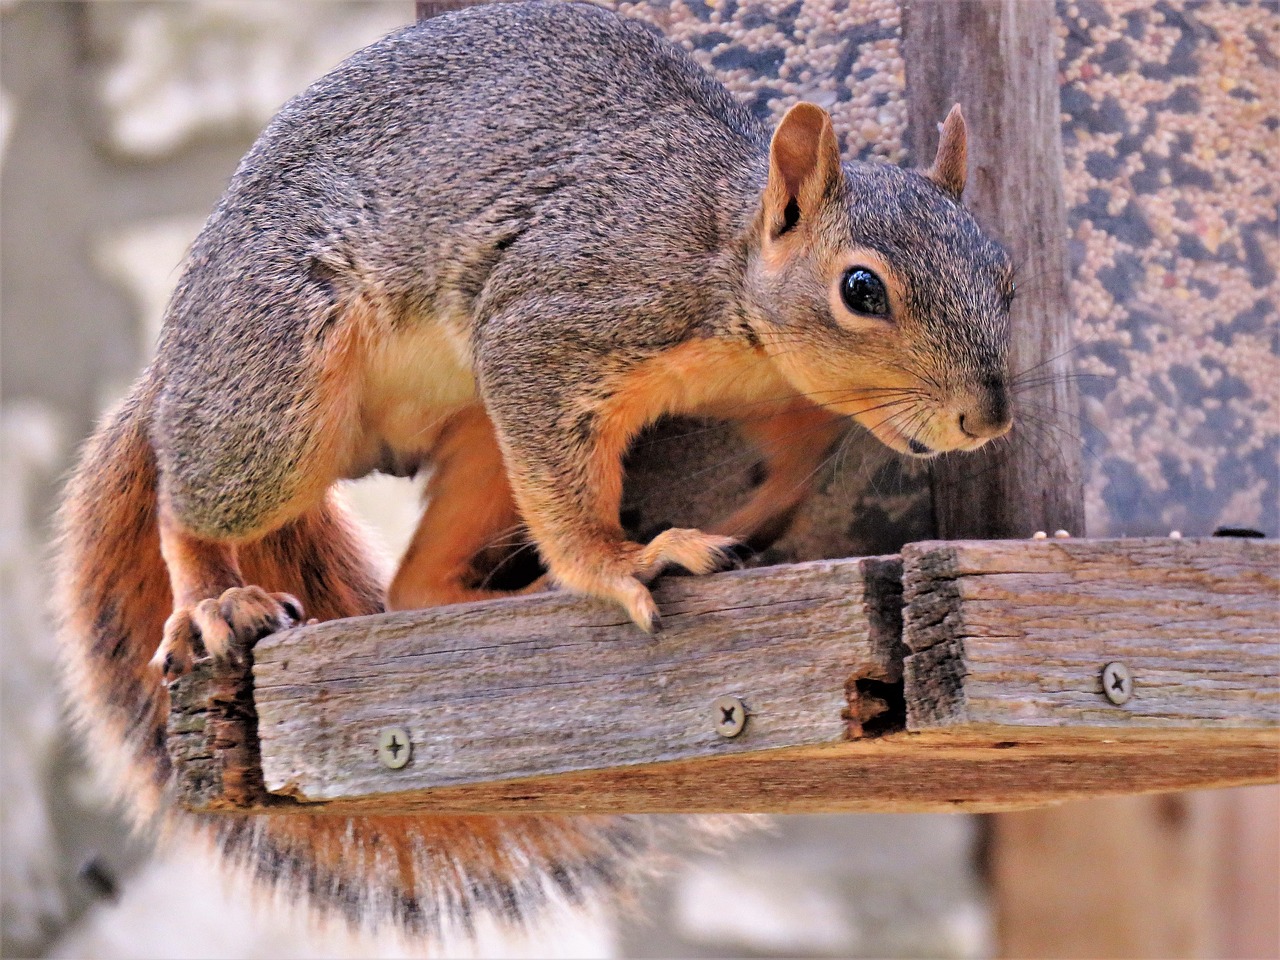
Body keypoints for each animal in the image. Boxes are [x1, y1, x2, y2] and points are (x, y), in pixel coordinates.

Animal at [49, 0, 1013, 942]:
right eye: (861, 290)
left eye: (1006, 273)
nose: (988, 418)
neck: (732, 266)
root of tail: (178, 360)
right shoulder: (559, 321)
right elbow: (572, 476)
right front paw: (622, 562)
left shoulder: (779, 413)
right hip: (277, 388)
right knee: (192, 497)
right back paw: (214, 593)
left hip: (475, 443)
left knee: (413, 581)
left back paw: (488, 603)